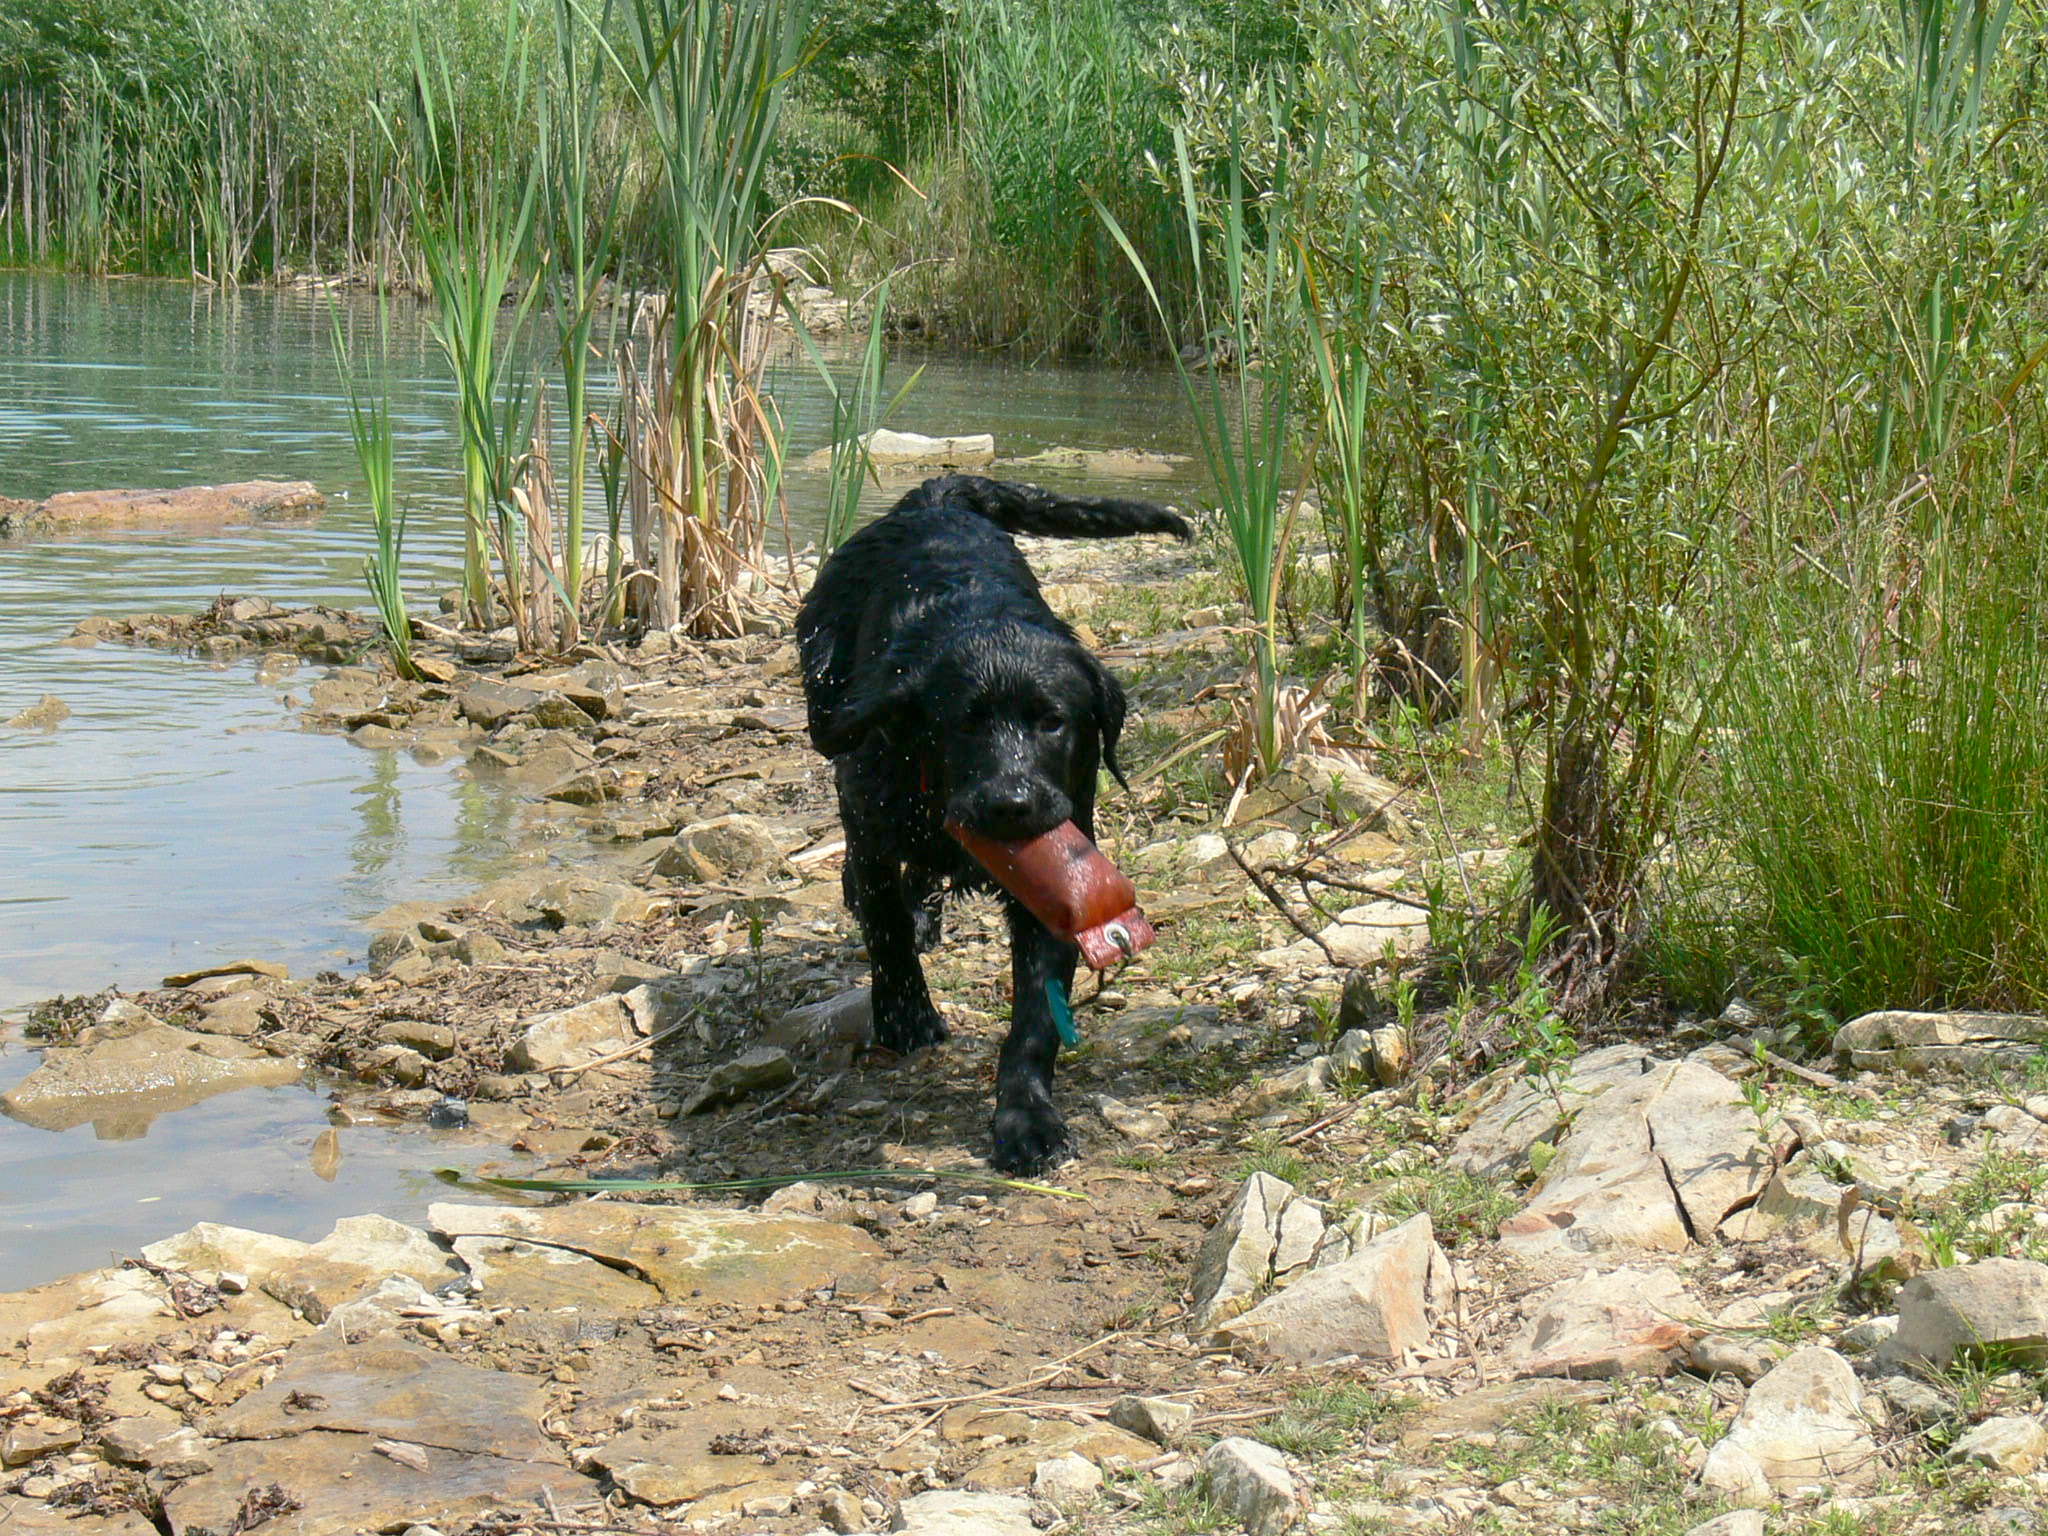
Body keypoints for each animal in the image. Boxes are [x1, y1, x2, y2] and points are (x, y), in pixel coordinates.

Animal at [794, 475, 1196, 1171]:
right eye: (964, 723)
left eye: (1052, 721)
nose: (1011, 803)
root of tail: (933, 497)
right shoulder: (875, 820)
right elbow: (885, 928)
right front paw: (906, 1014)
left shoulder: (1059, 885)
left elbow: (1035, 1018)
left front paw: (1027, 1119)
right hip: (832, 714)